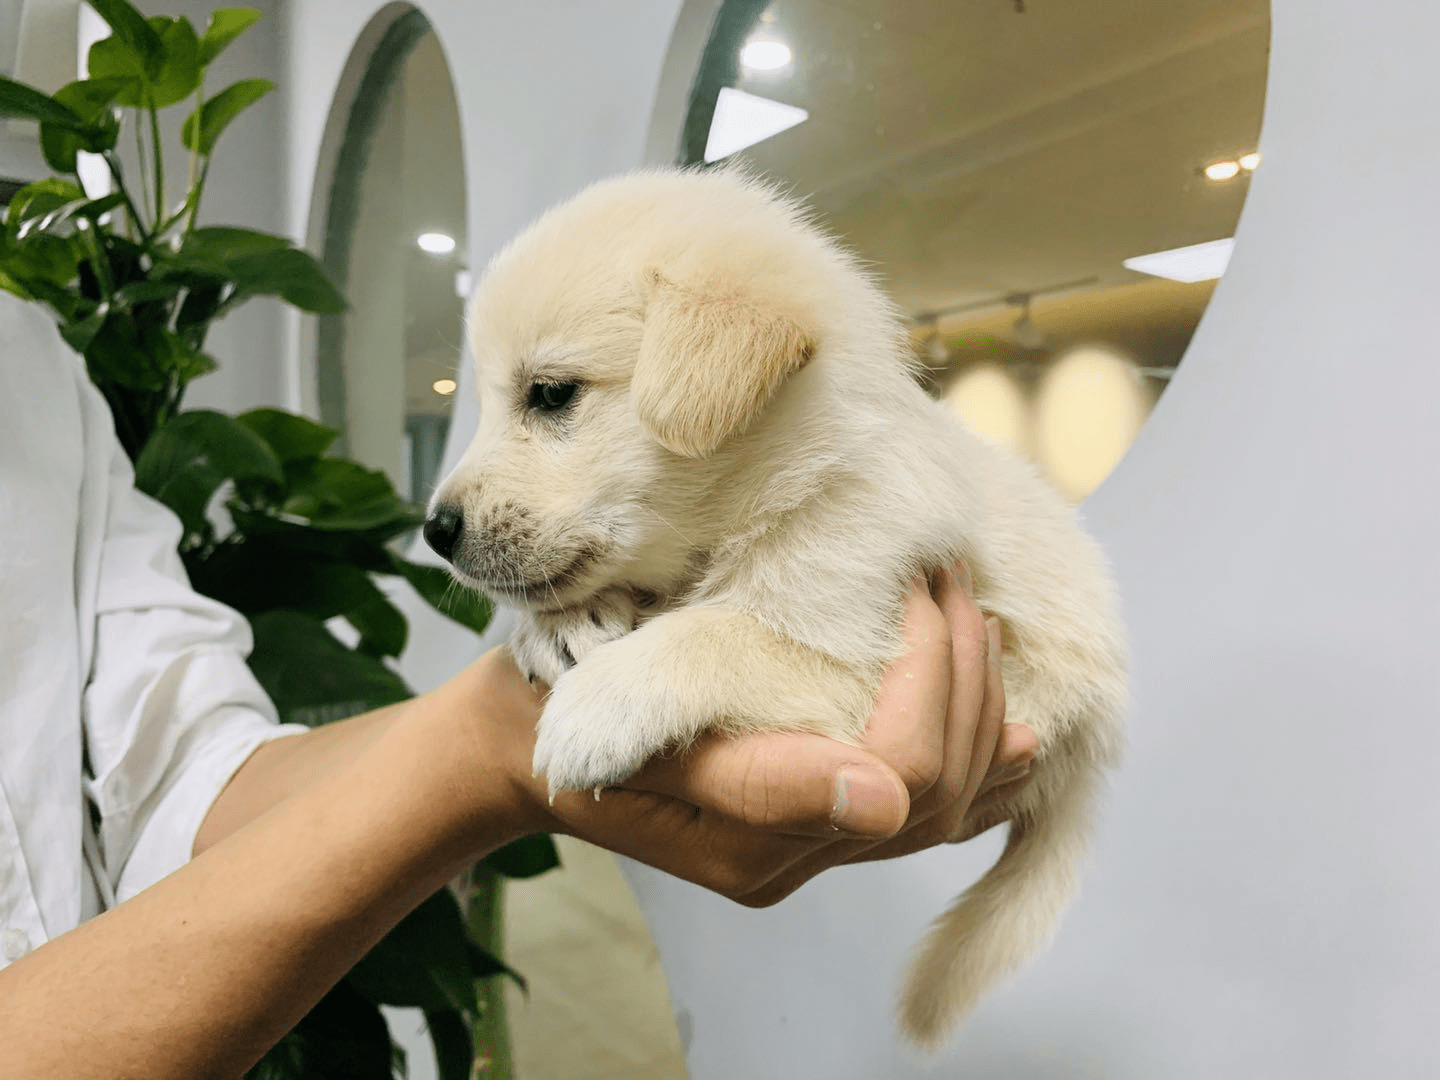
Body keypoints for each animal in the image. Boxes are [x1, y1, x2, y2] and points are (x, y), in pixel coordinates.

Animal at [426, 169, 1123, 1048]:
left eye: (550, 394)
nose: (433, 532)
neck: (778, 490)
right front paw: (556, 628)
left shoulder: (860, 643)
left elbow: (721, 631)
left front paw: (600, 704)